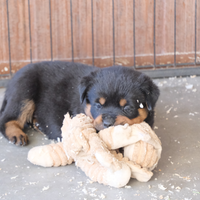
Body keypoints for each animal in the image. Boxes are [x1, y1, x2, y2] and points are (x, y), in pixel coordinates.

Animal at [0, 61, 159, 145]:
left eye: (127, 107)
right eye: (98, 105)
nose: (107, 123)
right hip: (24, 89)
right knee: (8, 117)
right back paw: (16, 134)